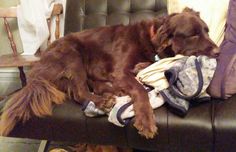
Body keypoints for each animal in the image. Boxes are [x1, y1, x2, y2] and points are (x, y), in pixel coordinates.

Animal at [0, 8, 218, 139]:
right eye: (193, 35)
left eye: (207, 31)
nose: (218, 52)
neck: (150, 38)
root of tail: (38, 69)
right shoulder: (120, 71)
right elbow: (139, 90)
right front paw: (146, 121)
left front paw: (141, 66)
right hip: (73, 54)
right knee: (79, 92)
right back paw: (103, 100)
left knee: (91, 84)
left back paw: (111, 92)